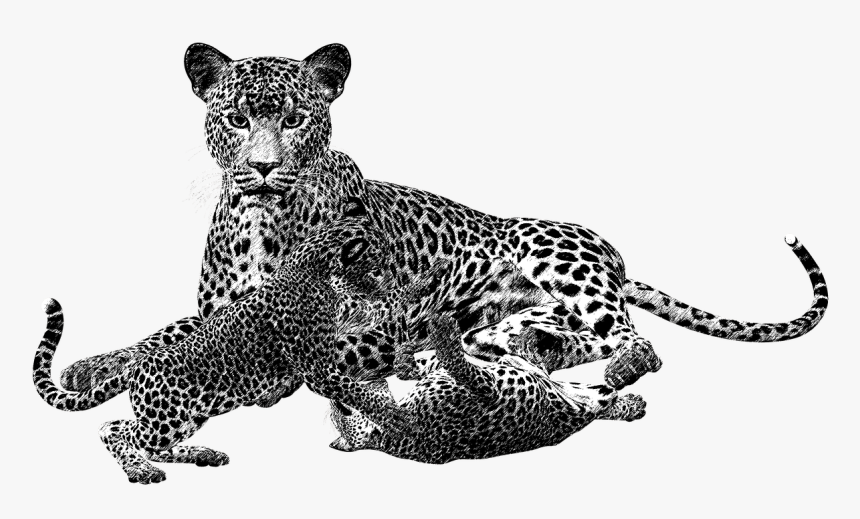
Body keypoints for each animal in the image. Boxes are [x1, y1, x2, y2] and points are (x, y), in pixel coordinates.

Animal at [33, 209, 421, 484]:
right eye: (378, 264)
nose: (393, 277)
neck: (319, 274)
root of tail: (138, 367)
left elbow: (375, 319)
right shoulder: (318, 368)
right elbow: (359, 391)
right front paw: (399, 417)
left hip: (188, 418)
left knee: (151, 445)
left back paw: (203, 454)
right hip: (165, 418)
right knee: (113, 429)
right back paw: (141, 471)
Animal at [60, 43, 829, 404]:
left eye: (296, 118)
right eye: (237, 118)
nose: (264, 167)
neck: (261, 218)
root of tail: (615, 257)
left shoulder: (366, 317)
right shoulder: (219, 309)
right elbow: (168, 331)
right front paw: (95, 365)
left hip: (557, 260)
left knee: (635, 343)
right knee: (555, 334)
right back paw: (501, 347)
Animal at [328, 315, 647, 464]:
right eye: (342, 409)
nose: (334, 400)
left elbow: (435, 362)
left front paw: (406, 359)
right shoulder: (488, 390)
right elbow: (458, 363)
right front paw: (442, 333)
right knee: (600, 394)